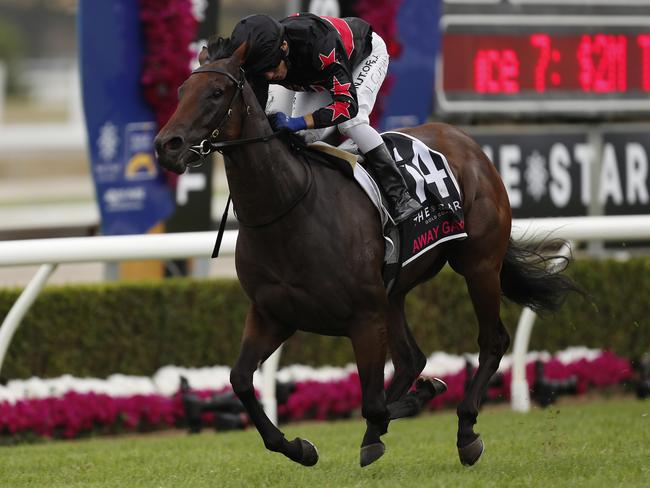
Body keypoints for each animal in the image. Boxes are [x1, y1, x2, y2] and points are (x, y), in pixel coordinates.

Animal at [153, 43, 576, 468]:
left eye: (216, 93)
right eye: (180, 92)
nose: (167, 145)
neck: (289, 208)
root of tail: (468, 144)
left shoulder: (364, 318)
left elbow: (372, 404)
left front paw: (421, 399)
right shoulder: (273, 314)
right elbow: (240, 380)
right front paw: (300, 448)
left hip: (478, 265)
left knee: (492, 340)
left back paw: (465, 430)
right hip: (395, 293)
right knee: (411, 360)